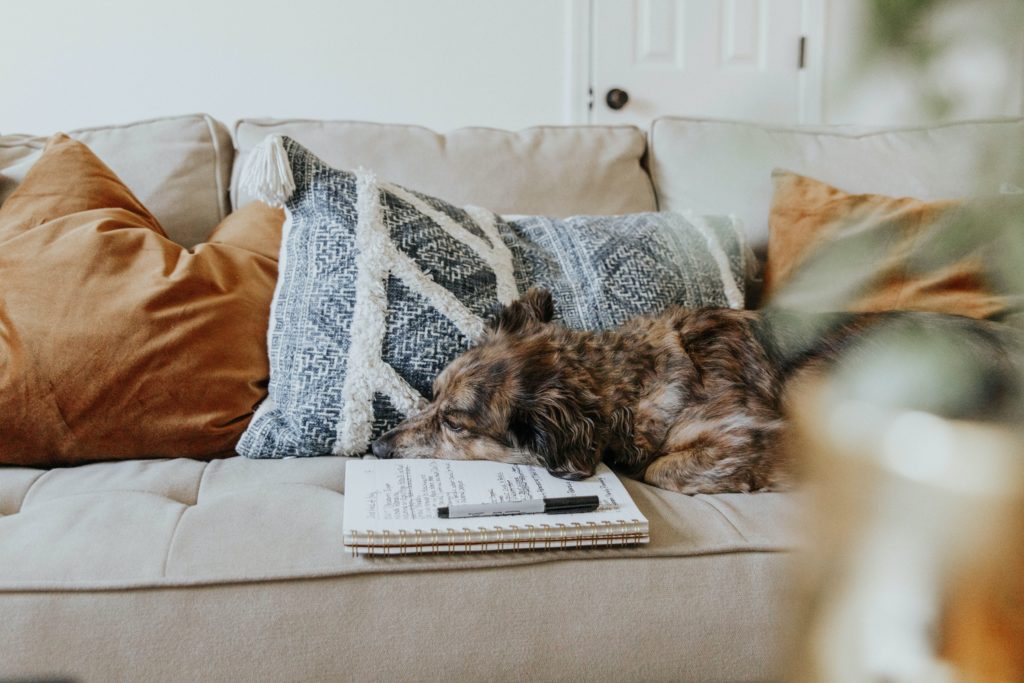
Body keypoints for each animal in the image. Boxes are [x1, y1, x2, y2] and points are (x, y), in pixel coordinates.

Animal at [372, 286, 1019, 491]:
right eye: (431, 394)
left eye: (455, 421)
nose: (376, 447)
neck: (627, 381)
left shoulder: (749, 430)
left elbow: (662, 468)